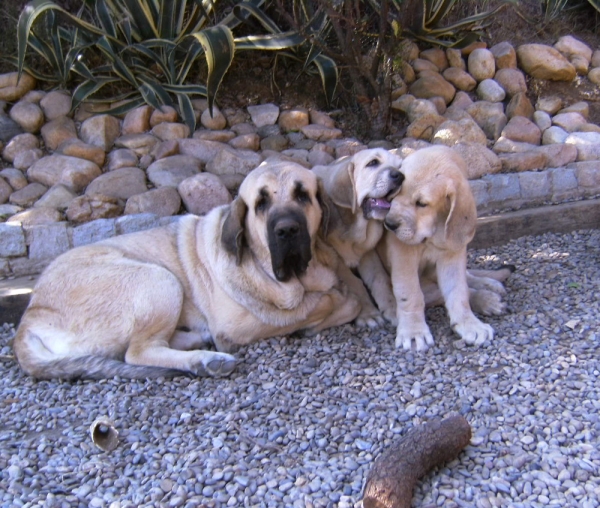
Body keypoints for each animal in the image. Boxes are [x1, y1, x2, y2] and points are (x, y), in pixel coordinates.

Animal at [14, 161, 360, 380]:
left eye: (303, 196)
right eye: (260, 204)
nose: (287, 229)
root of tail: (30, 315)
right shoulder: (238, 326)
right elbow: (325, 303)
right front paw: (325, 308)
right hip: (158, 279)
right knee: (137, 352)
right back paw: (206, 360)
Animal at [360, 145, 510, 352]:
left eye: (422, 203)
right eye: (395, 194)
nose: (389, 224)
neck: (431, 233)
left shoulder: (453, 252)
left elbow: (458, 291)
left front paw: (469, 324)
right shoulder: (403, 254)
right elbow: (410, 294)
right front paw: (413, 332)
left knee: (466, 281)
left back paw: (489, 288)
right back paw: (488, 297)